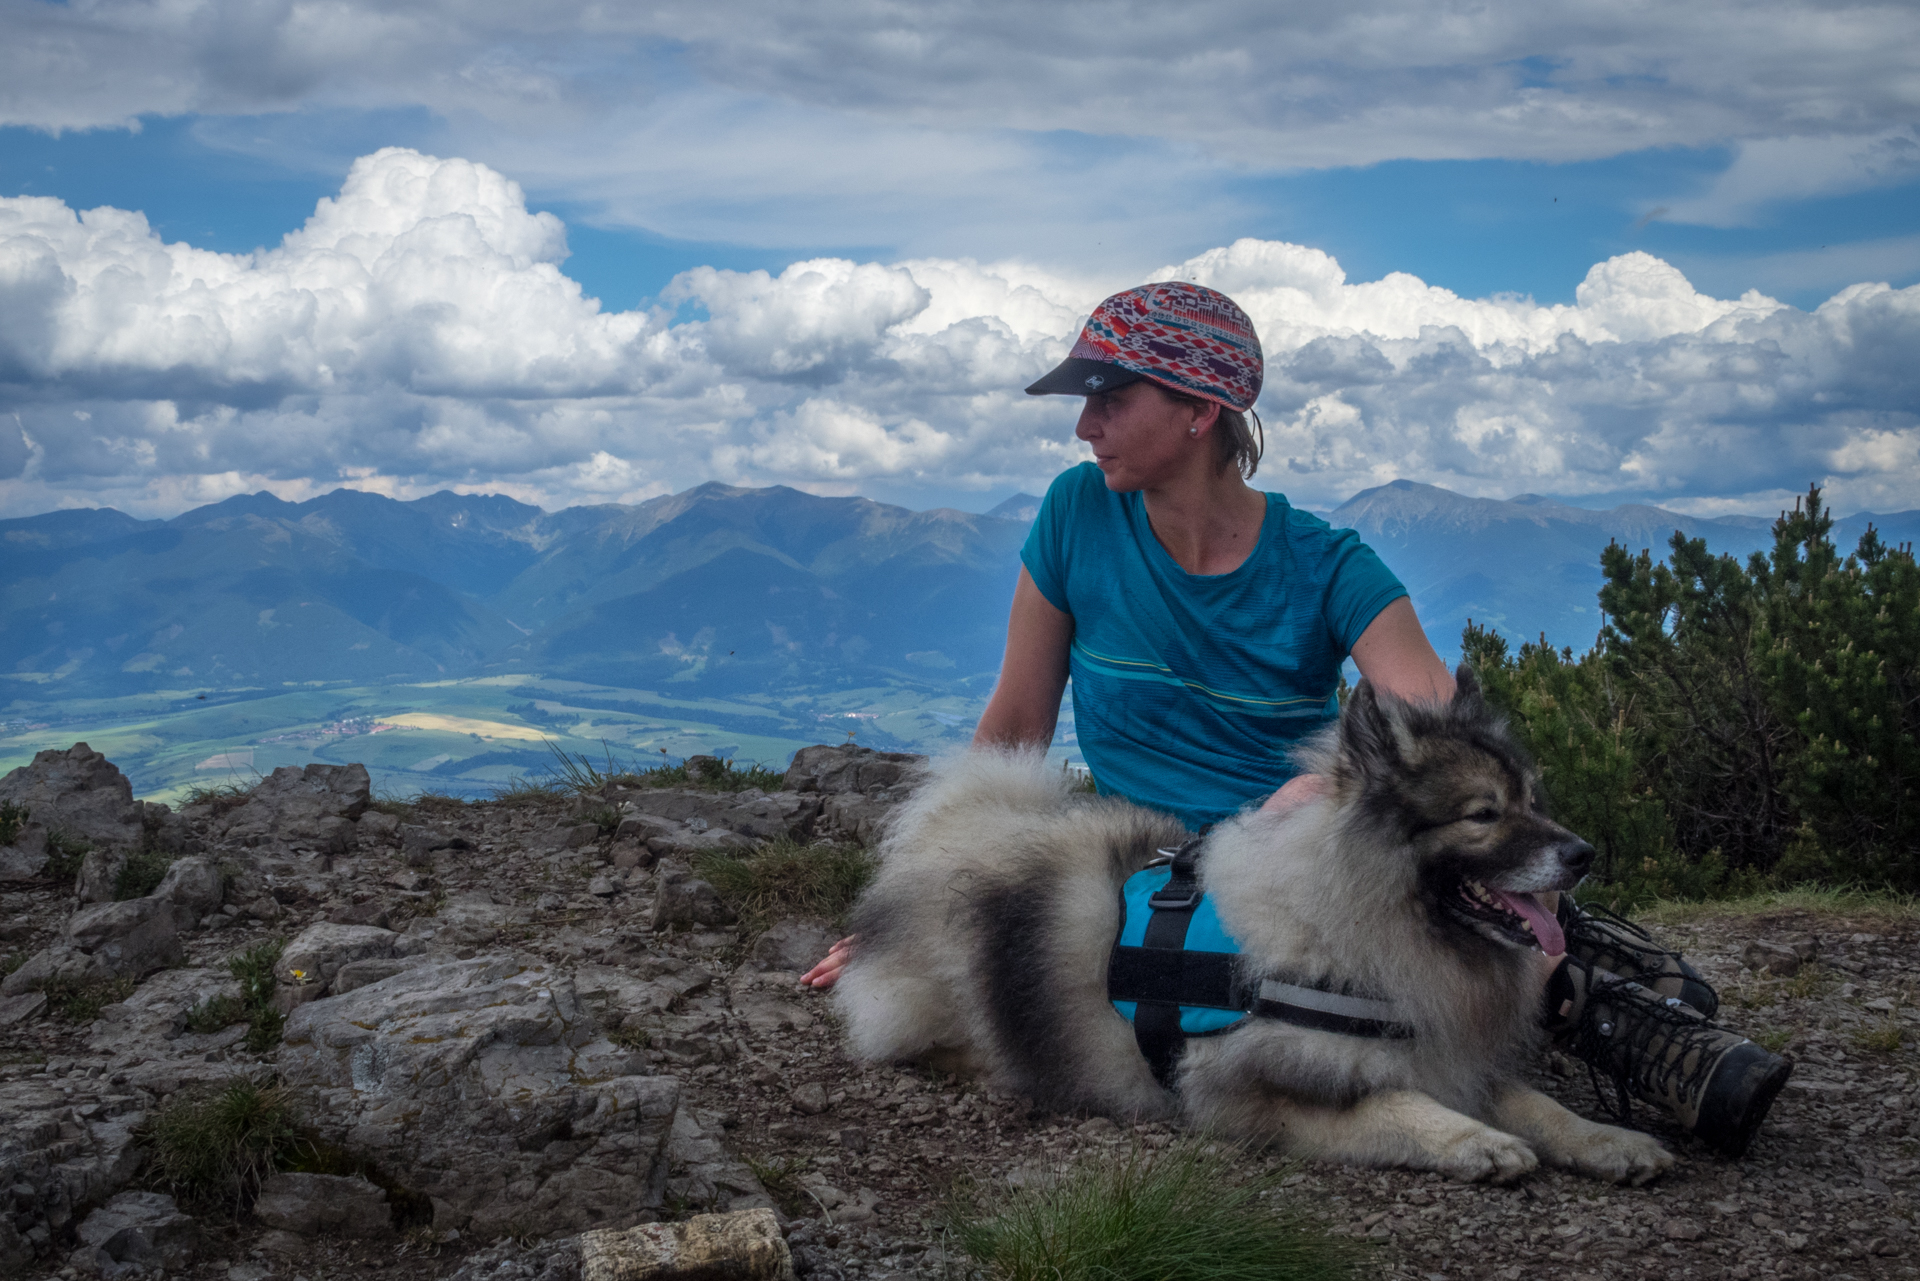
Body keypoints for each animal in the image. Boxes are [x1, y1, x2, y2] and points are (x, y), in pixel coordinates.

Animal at [833, 676, 1674, 1190]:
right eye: (1483, 813)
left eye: (1534, 800)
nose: (1582, 854)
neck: (1348, 919)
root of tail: (949, 831)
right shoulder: (1253, 1096)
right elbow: (1393, 1106)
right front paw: (1474, 1140)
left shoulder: (1445, 1048)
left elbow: (1535, 1102)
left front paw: (1610, 1139)